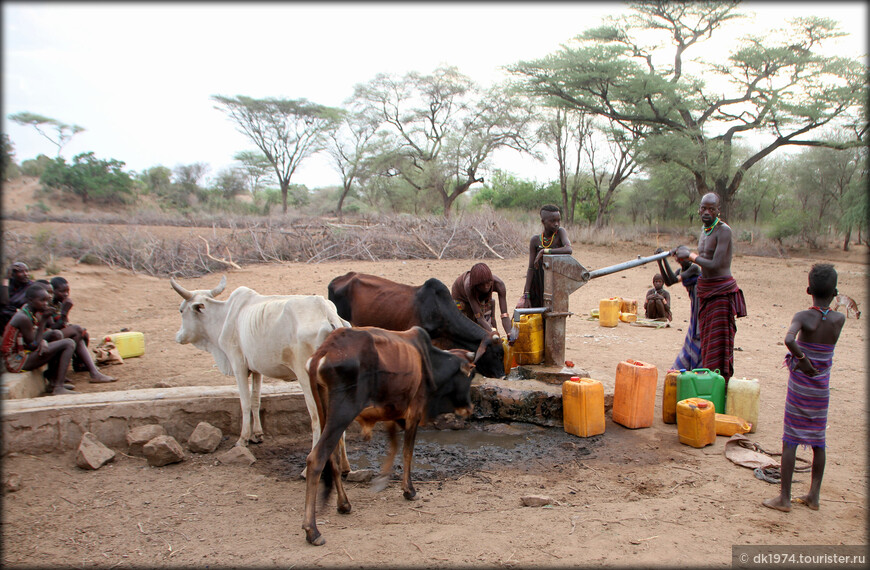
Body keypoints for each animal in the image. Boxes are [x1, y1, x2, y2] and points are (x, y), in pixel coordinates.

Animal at [169, 276, 350, 470]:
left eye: (181, 310)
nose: (178, 336)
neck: (224, 316)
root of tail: (328, 314)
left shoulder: (238, 364)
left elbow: (245, 402)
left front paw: (242, 439)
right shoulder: (257, 369)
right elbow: (256, 400)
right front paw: (257, 434)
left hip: (307, 379)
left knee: (317, 419)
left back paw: (307, 468)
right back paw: (345, 466)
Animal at [300, 322, 476, 544]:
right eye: (470, 375)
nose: (470, 408)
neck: (430, 361)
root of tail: (324, 351)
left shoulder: (391, 411)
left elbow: (393, 445)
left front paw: (382, 479)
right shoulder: (414, 412)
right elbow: (407, 452)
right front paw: (409, 490)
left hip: (326, 413)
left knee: (333, 458)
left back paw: (343, 504)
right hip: (342, 413)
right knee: (316, 458)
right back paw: (312, 531)